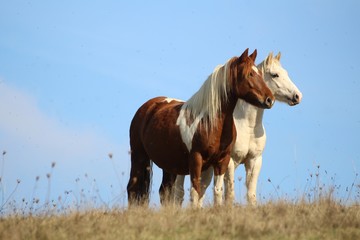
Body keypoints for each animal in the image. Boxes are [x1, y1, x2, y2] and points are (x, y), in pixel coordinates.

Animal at [171, 53, 300, 206]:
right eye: (275, 75)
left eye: (286, 73)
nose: (297, 96)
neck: (248, 127)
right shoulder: (230, 161)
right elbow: (229, 193)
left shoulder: (254, 160)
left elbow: (251, 194)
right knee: (180, 193)